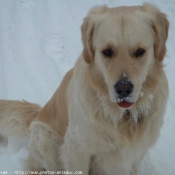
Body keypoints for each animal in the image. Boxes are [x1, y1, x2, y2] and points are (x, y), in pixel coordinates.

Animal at [0, 3, 170, 175]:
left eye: (140, 51)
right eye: (107, 51)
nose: (123, 89)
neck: (121, 117)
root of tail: (38, 115)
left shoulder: (136, 154)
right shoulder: (77, 148)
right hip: (46, 139)